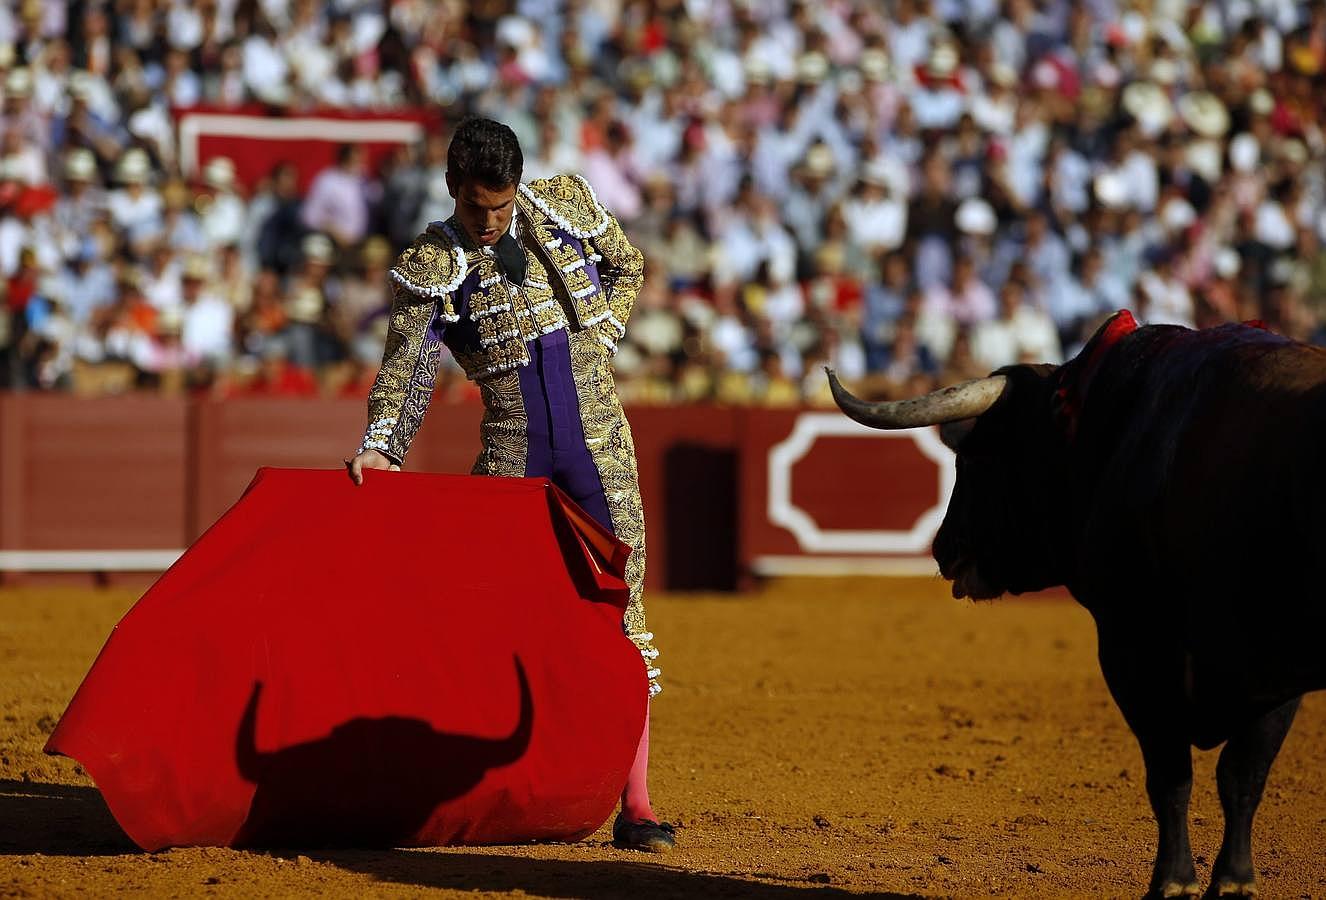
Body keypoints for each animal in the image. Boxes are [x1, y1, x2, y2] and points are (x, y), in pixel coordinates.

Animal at [827, 312, 1326, 896]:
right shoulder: (1263, 670)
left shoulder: (1139, 646)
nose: (943, 547)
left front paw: (1180, 881)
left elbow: (1192, 773)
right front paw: (1227, 881)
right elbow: (1232, 774)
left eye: (972, 459)